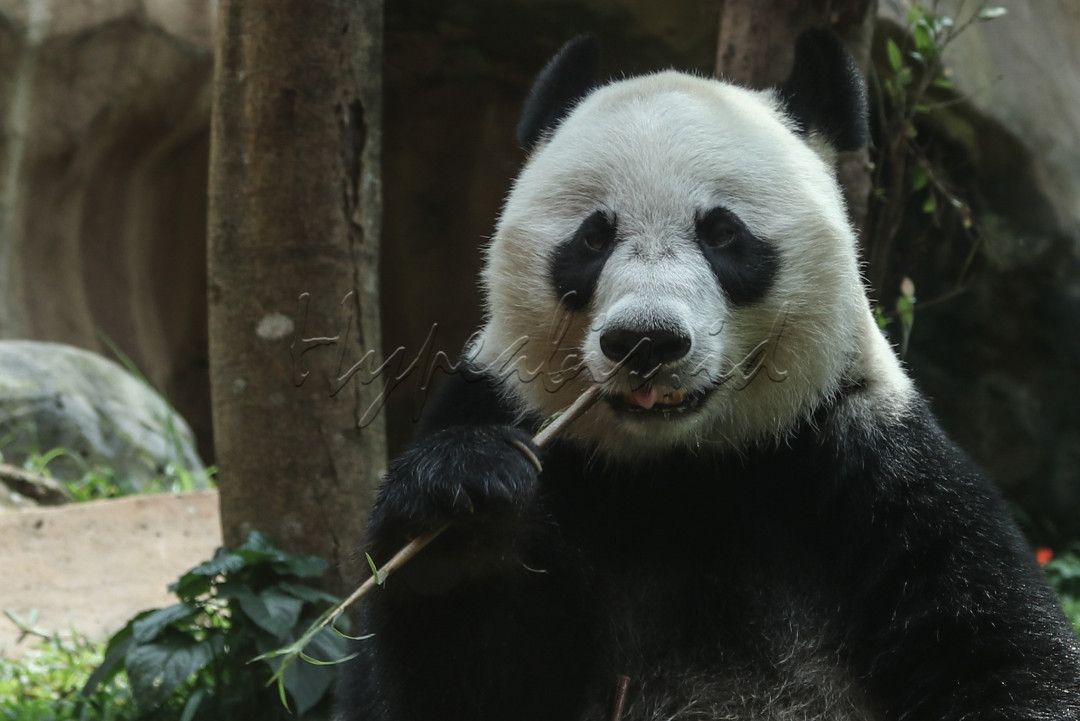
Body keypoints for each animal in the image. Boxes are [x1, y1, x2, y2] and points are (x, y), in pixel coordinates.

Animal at [337, 31, 1080, 721]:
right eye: (592, 238)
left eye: (722, 233)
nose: (645, 340)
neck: (680, 466)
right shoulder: (502, 404)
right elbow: (455, 678)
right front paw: (464, 507)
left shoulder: (868, 456)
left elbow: (1000, 649)